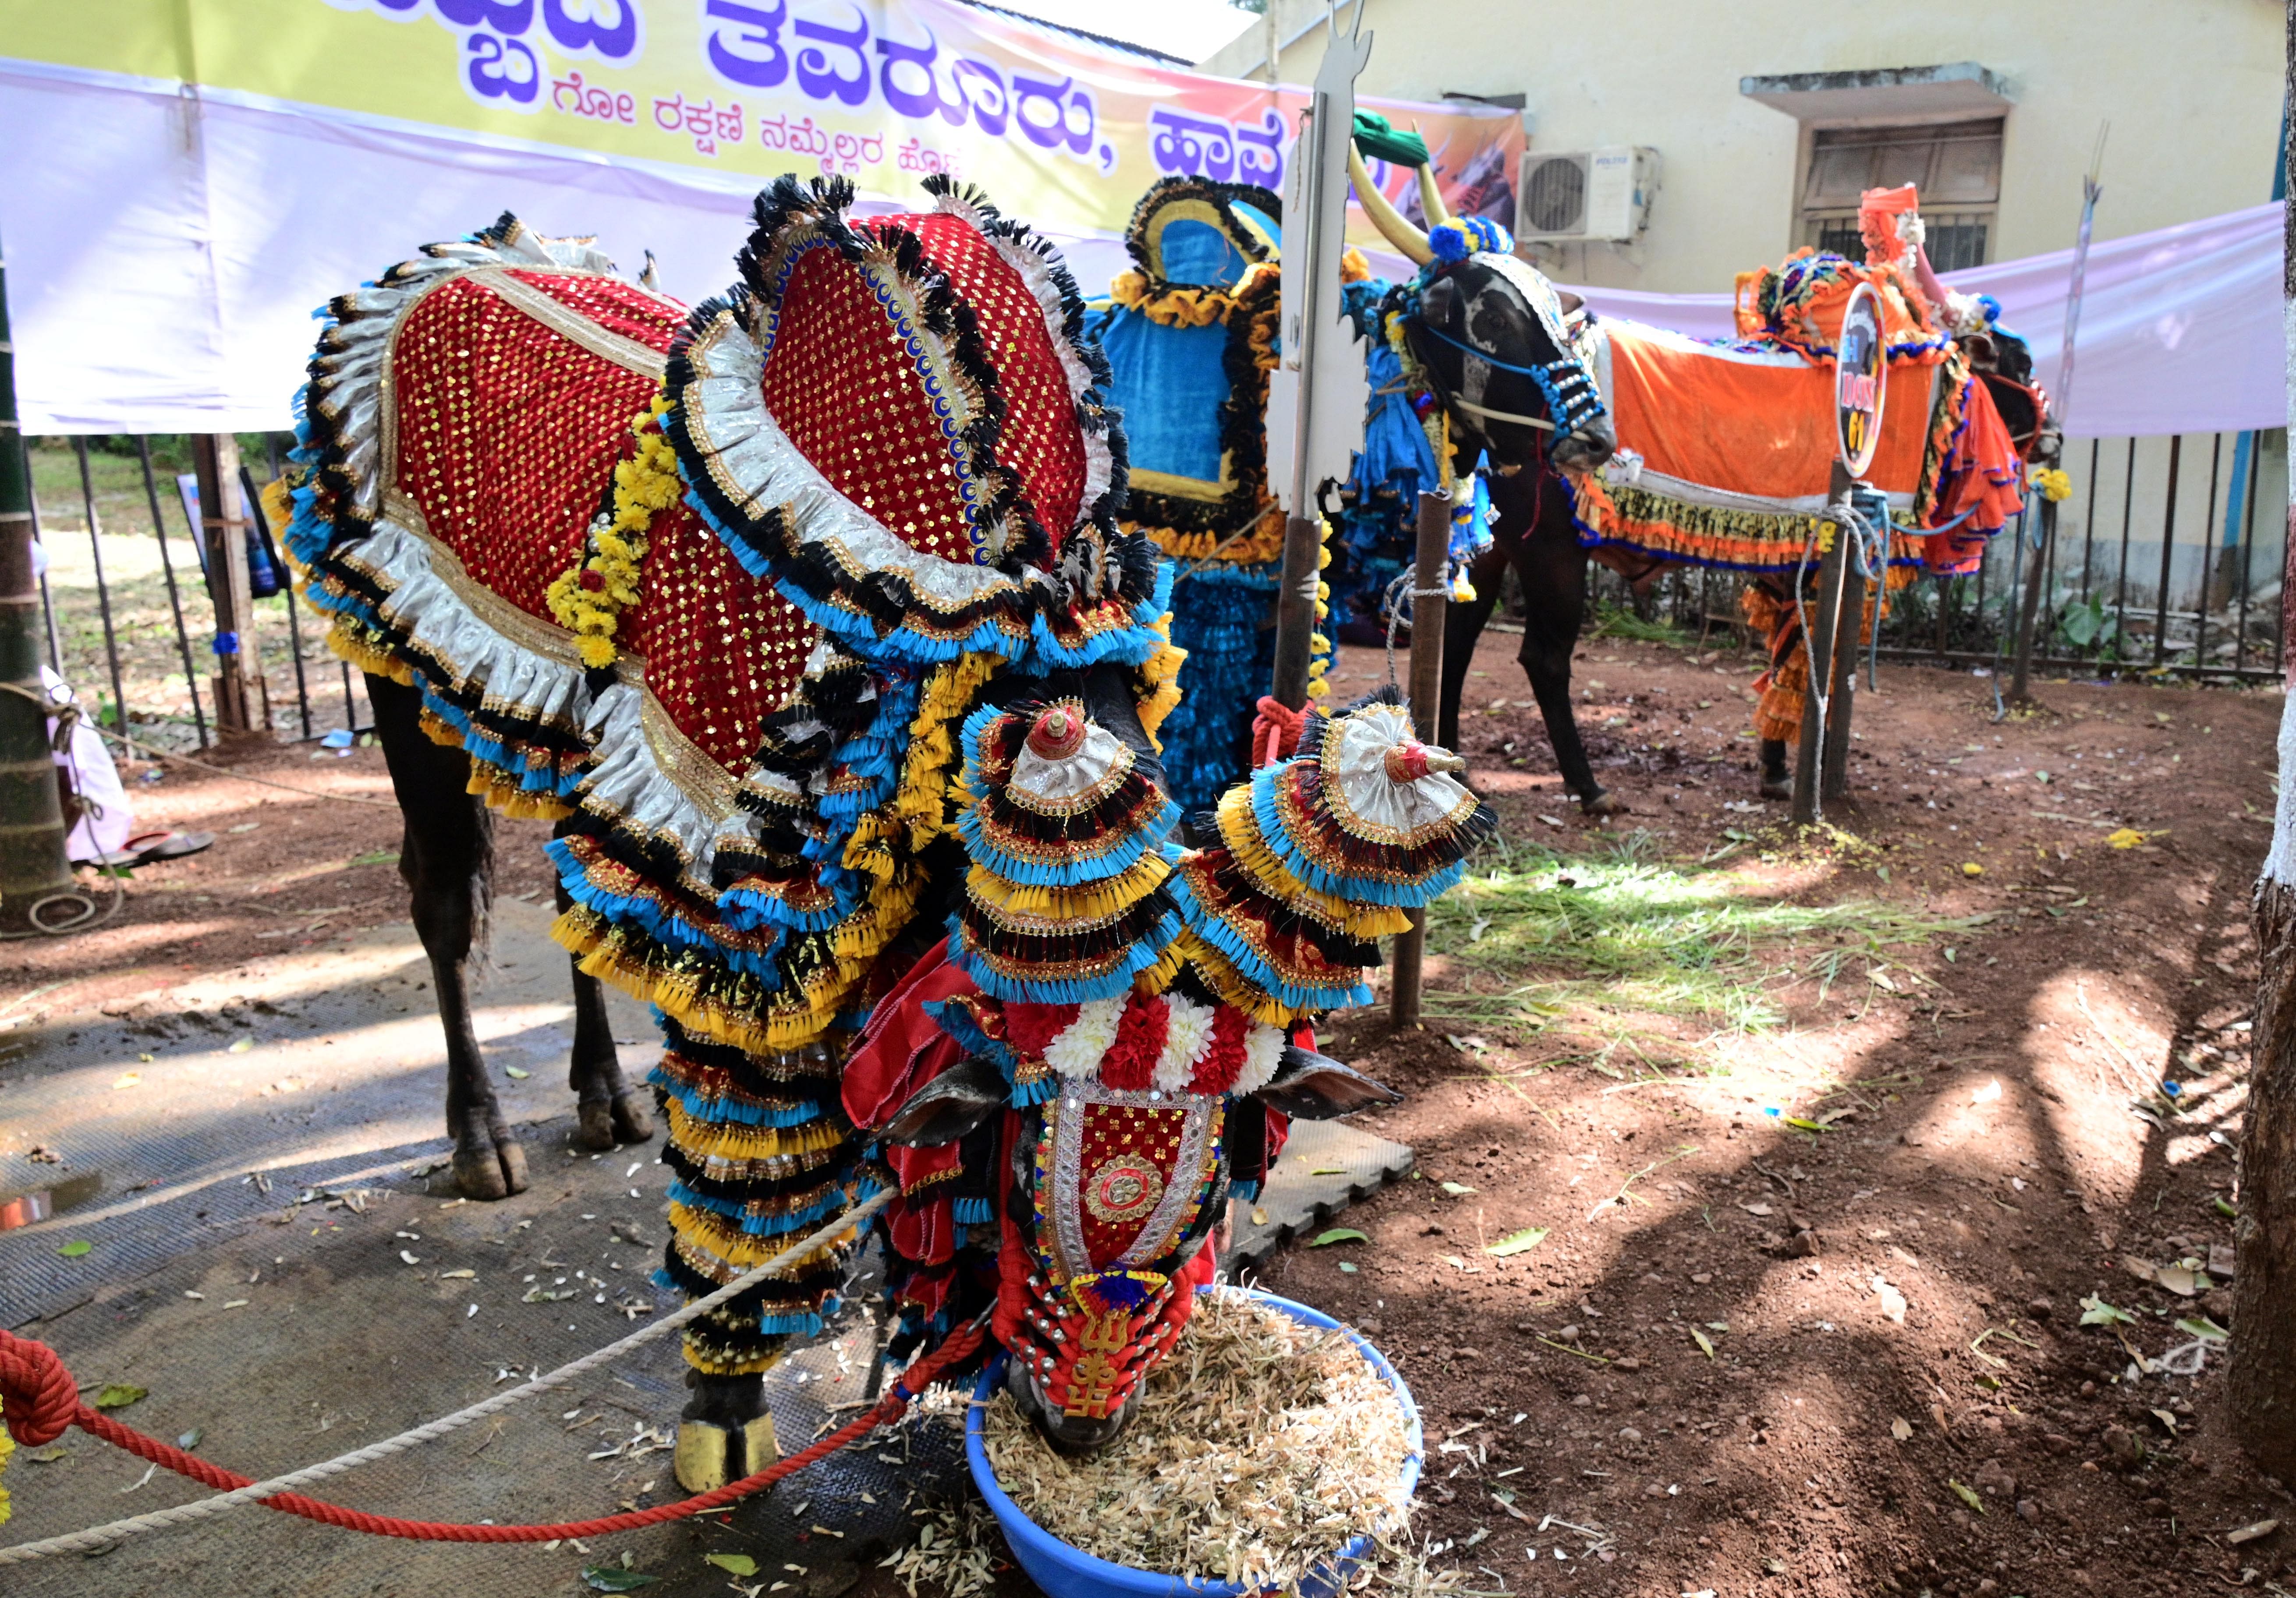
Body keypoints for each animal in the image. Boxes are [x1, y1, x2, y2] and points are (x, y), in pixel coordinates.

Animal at [278, 169, 1488, 1488]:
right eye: (1022, 1179)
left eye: (1212, 1189)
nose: (1080, 1428)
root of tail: (459, 255)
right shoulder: (736, 940)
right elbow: (753, 1171)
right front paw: (723, 1407)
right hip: (402, 688)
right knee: (445, 900)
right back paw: (482, 1138)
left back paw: (602, 1097)